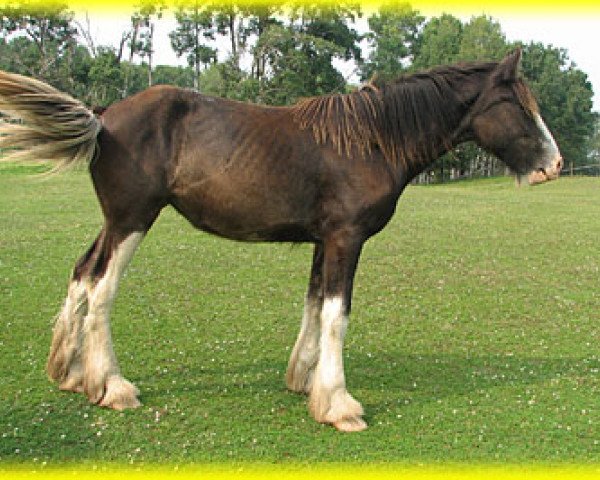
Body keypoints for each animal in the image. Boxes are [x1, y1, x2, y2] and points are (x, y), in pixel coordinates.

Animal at [0, 49, 564, 432]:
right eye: (517, 104)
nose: (554, 164)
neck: (371, 140)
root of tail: (102, 115)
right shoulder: (346, 240)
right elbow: (337, 314)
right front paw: (339, 404)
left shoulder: (323, 241)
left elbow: (314, 306)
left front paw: (305, 382)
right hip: (132, 220)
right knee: (101, 289)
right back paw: (112, 386)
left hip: (116, 222)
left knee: (81, 273)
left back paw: (71, 373)